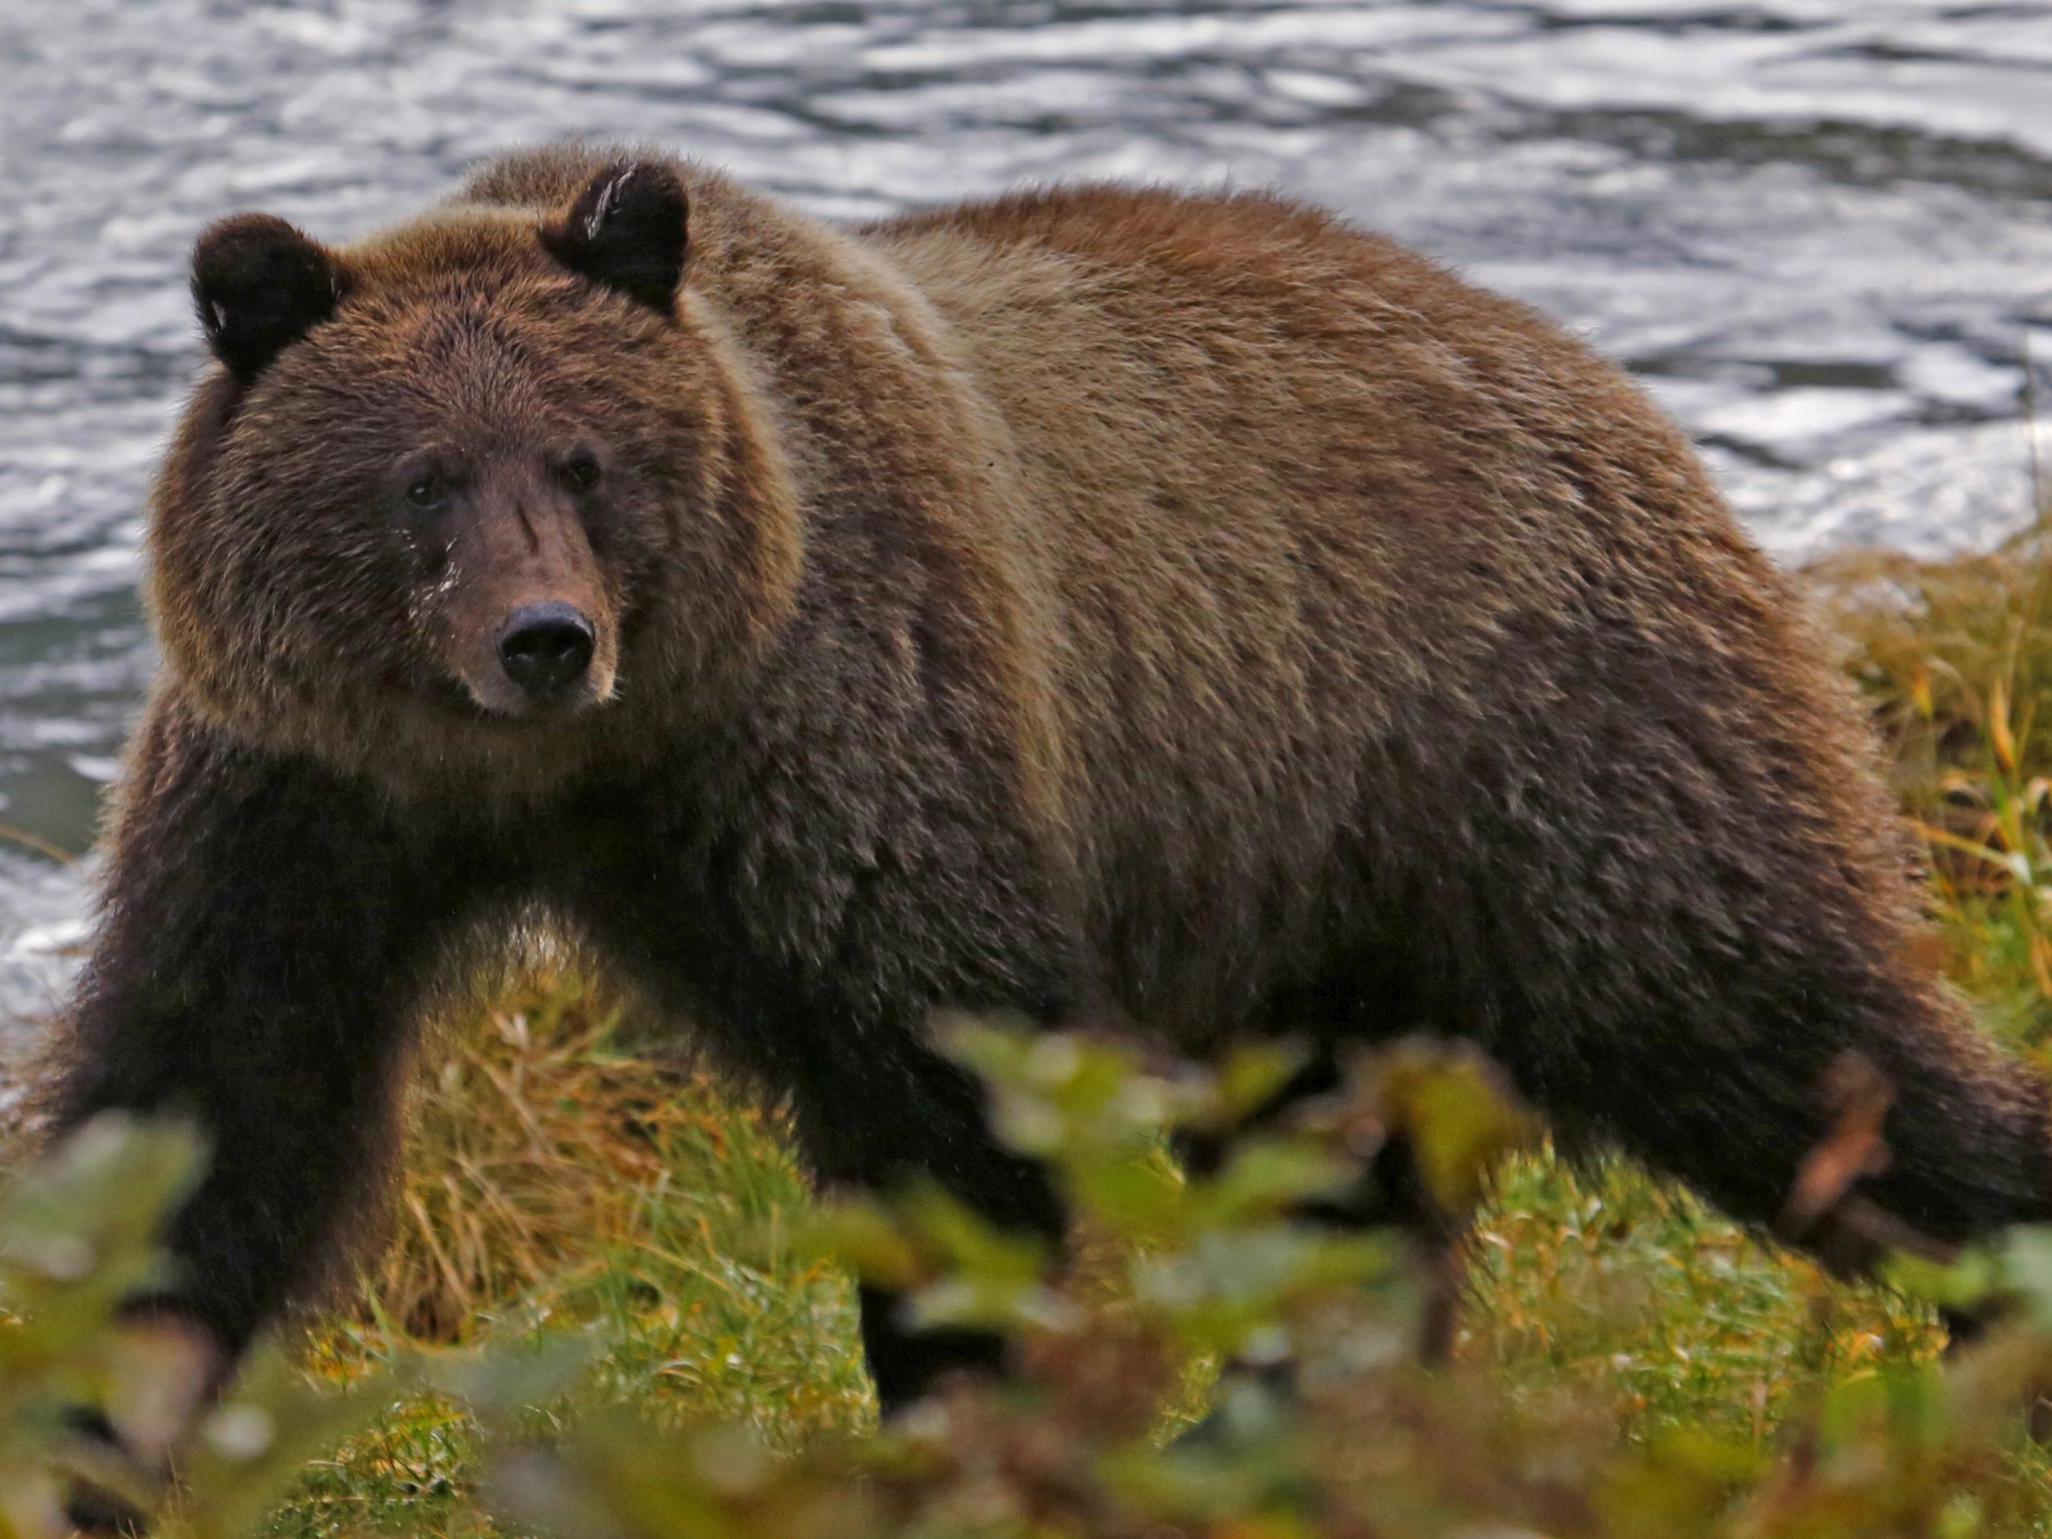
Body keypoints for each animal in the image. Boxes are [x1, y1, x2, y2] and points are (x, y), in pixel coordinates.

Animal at [40, 135, 2052, 1510]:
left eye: (587, 461)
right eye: (422, 480)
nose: (546, 636)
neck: (564, 775)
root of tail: (1602, 379)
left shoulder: (855, 719)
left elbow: (950, 1104)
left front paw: (958, 1426)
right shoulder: (304, 792)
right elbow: (211, 1098)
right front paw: (80, 1438)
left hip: (1543, 739)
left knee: (1769, 1027)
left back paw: (1993, 1297)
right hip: (1320, 883)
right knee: (1341, 1169)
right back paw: (1274, 1423)